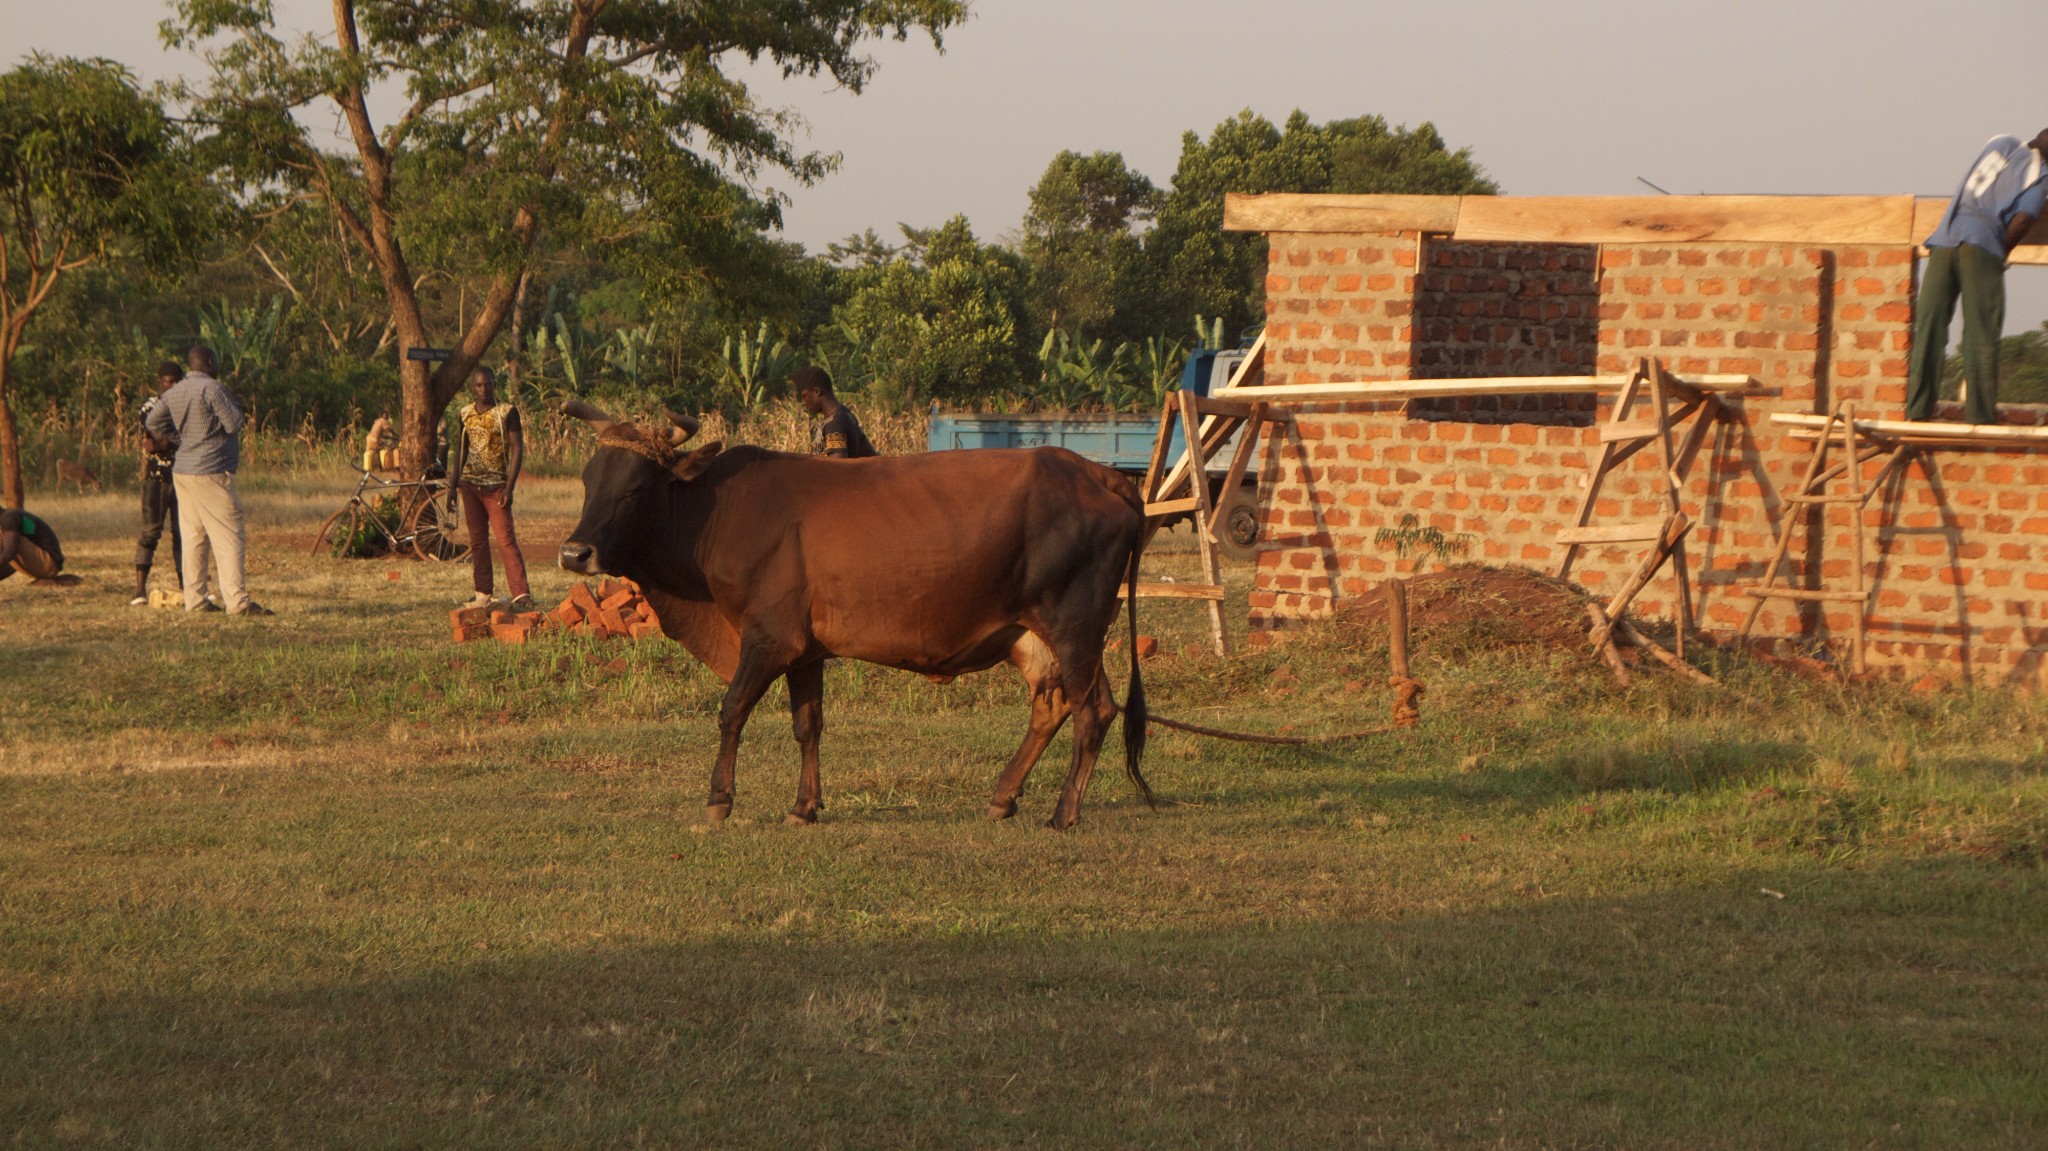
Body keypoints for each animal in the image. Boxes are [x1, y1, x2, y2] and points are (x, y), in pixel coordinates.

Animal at [561, 403, 1155, 823]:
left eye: (636, 488)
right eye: (589, 482)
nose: (573, 552)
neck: (714, 512)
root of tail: (1100, 475)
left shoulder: (768, 639)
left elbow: (731, 711)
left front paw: (718, 799)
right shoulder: (804, 650)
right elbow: (808, 725)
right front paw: (803, 807)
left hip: (1076, 626)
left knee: (1094, 711)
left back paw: (1063, 812)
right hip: (1036, 634)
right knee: (1053, 705)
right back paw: (1004, 797)